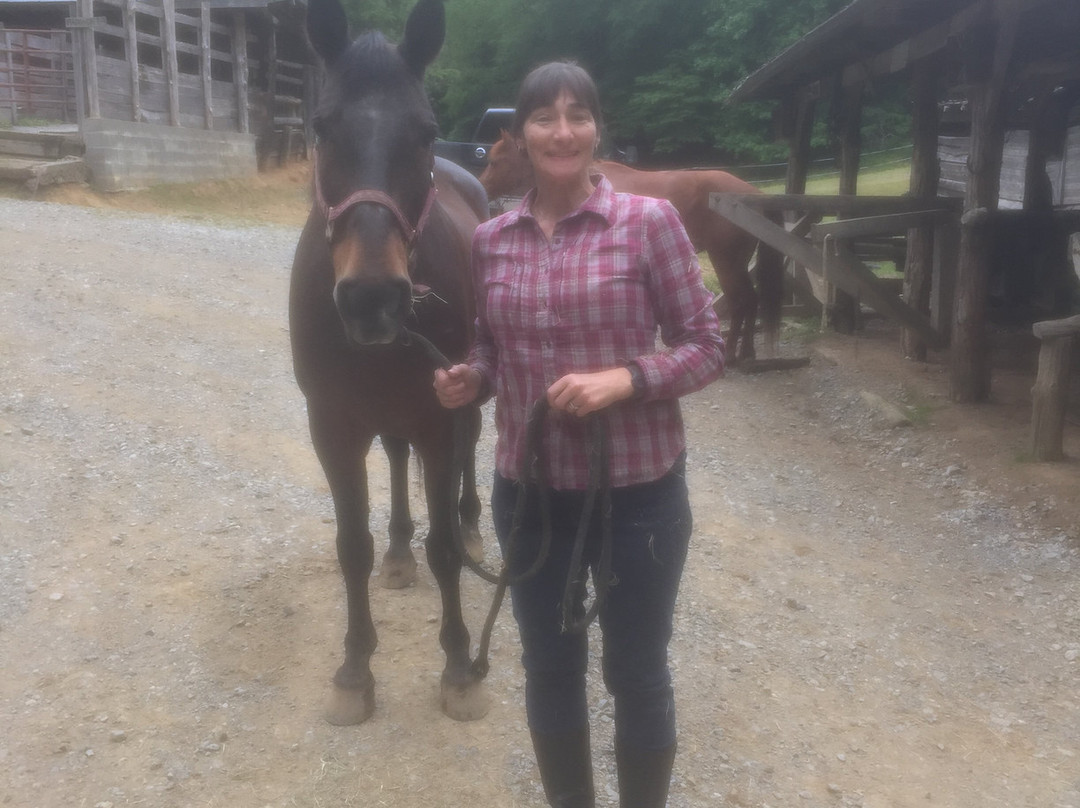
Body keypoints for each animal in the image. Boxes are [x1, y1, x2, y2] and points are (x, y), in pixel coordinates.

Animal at [290, 0, 488, 725]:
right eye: (323, 127)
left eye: (426, 133)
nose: (373, 299)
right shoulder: (333, 426)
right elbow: (352, 547)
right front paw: (354, 671)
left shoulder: (438, 416)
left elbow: (446, 550)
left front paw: (459, 667)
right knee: (398, 462)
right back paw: (400, 551)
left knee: (467, 459)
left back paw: (471, 521)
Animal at [480, 131, 784, 363]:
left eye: (494, 161)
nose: (481, 187)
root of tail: (752, 194)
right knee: (751, 300)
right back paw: (747, 352)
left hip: (726, 261)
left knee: (740, 301)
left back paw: (733, 353)